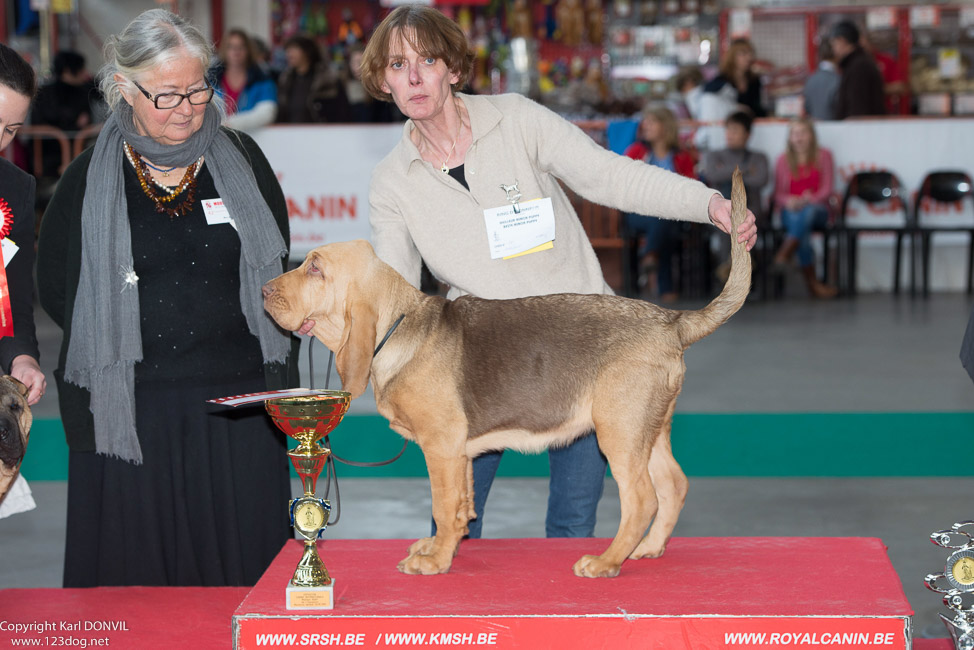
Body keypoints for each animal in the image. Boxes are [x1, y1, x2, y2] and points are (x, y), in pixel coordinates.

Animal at [264, 173, 752, 576]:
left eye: (315, 267)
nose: (264, 290)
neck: (399, 325)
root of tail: (671, 321)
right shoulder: (460, 454)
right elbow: (461, 507)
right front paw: (439, 548)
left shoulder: (441, 446)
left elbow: (442, 505)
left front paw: (434, 562)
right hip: (649, 429)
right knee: (673, 485)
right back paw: (647, 548)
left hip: (620, 432)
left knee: (642, 499)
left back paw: (607, 561)